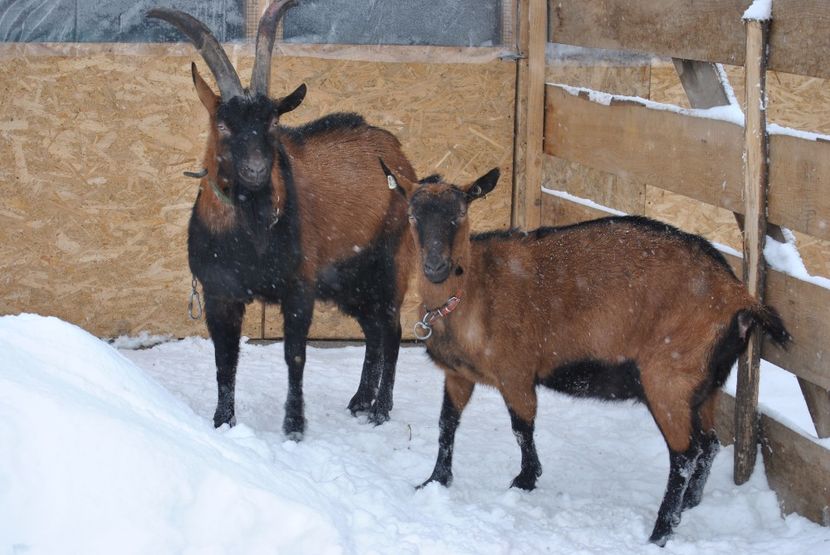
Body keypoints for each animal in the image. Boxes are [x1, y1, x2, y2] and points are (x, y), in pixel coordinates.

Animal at [148, 2, 416, 440]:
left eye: (272, 121)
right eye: (223, 123)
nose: (257, 169)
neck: (250, 238)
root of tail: (398, 155)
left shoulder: (299, 286)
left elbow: (295, 356)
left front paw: (293, 427)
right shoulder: (220, 293)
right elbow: (225, 360)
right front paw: (222, 422)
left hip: (389, 264)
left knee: (391, 329)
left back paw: (380, 410)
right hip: (347, 280)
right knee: (373, 331)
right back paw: (360, 401)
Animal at [384, 164, 792, 548]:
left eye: (461, 214)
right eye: (413, 216)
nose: (435, 267)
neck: (473, 291)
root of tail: (740, 296)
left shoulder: (516, 372)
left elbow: (521, 427)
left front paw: (524, 481)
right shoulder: (458, 374)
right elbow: (446, 424)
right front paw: (434, 481)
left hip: (669, 377)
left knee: (684, 454)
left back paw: (660, 532)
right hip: (705, 384)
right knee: (708, 444)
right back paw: (690, 505)